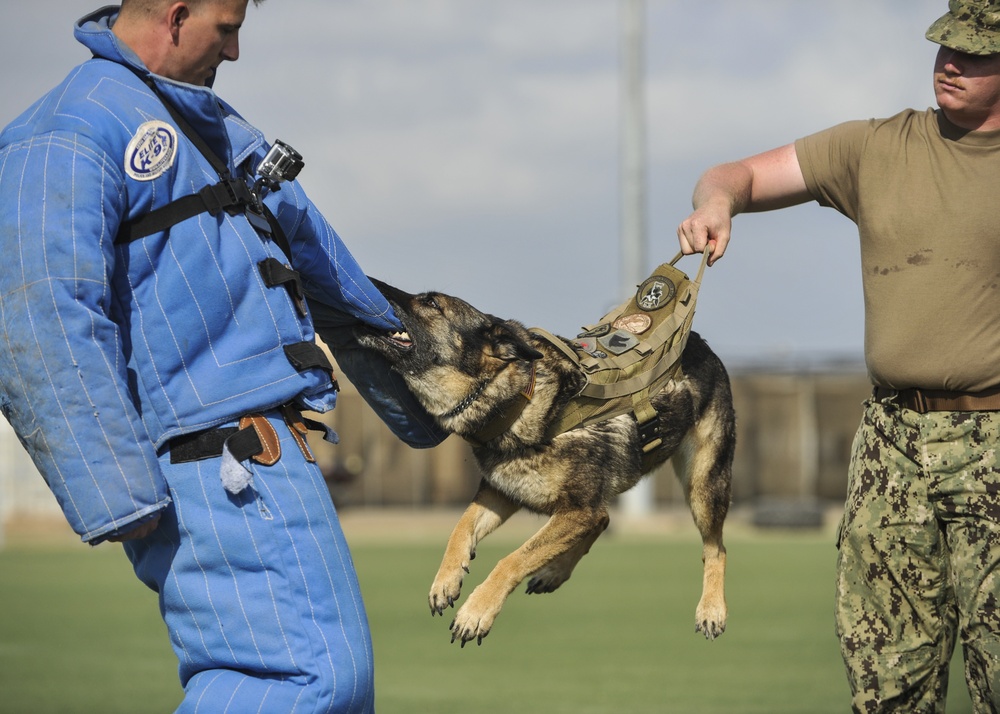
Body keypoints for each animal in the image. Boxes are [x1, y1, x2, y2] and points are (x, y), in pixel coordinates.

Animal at [356, 276, 732, 644]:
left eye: (432, 303)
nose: (369, 282)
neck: (521, 396)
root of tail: (699, 341)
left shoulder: (576, 509)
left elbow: (512, 559)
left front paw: (476, 611)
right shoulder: (503, 493)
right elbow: (460, 528)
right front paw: (446, 580)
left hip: (703, 485)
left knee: (715, 548)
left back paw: (712, 610)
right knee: (604, 520)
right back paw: (553, 572)